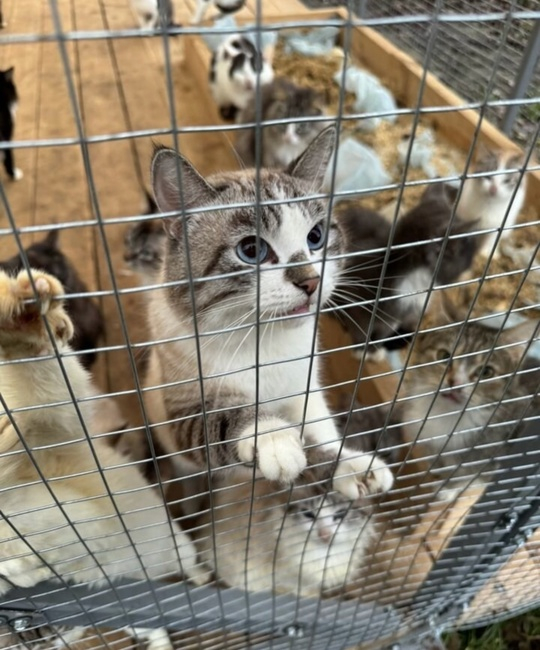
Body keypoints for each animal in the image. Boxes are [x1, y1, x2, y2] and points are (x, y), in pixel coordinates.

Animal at [0, 268, 206, 648]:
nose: (42, 637)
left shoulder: (56, 437)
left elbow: (45, 385)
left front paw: (24, 315)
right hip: (137, 606)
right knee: (154, 626)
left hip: (174, 544)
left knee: (188, 562)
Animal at [143, 126, 394, 502]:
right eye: (251, 250)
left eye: (316, 236)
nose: (310, 281)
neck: (264, 343)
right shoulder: (183, 411)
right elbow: (226, 419)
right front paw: (276, 439)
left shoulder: (306, 391)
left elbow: (321, 440)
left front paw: (352, 467)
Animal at [195, 468, 376, 596]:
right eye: (308, 515)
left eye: (340, 515)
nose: (325, 535)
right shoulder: (283, 573)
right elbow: (292, 586)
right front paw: (306, 595)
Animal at [334, 185, 480, 360]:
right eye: (467, 255)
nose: (470, 267)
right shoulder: (358, 299)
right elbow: (360, 327)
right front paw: (361, 349)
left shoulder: (396, 317)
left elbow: (384, 332)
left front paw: (374, 349)